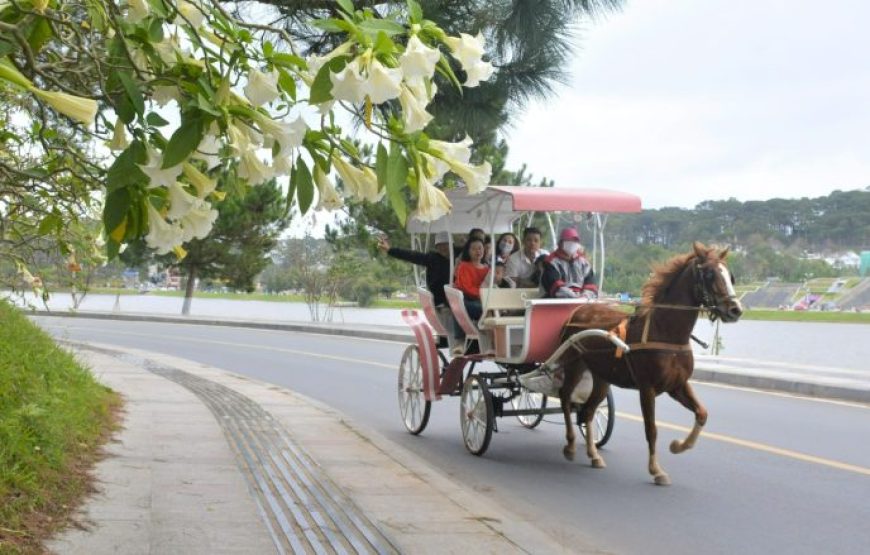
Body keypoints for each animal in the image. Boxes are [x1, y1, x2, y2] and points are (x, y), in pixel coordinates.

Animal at [560, 241, 744, 484]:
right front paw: (656, 470)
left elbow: (702, 413)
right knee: (564, 397)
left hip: (601, 377)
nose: (735, 310)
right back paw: (571, 445)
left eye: (730, 276)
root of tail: (578, 310)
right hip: (573, 365)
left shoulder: (677, 385)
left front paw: (678, 446)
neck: (666, 332)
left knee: (588, 411)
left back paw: (594, 455)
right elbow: (652, 429)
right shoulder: (647, 388)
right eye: (710, 274)